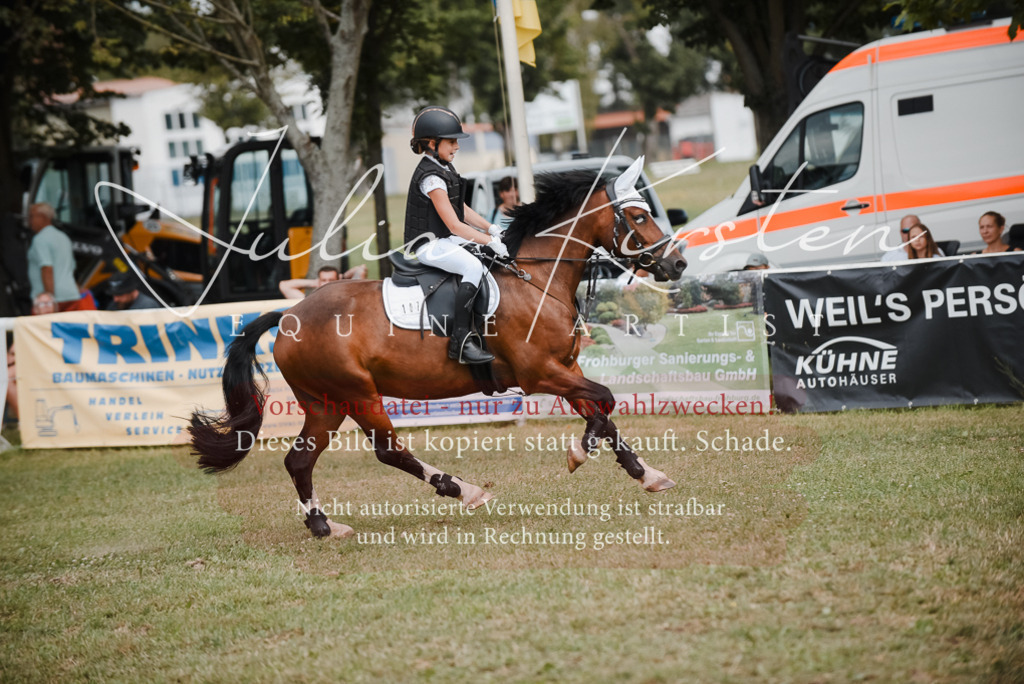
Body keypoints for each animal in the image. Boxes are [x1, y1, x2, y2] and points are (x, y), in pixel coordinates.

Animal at [189, 157, 688, 538]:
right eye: (638, 217)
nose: (677, 263)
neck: (537, 278)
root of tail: (290, 315)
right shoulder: (541, 372)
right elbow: (605, 400)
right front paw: (579, 455)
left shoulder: (565, 368)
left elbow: (602, 413)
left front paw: (648, 475)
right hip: (357, 394)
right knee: (388, 451)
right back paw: (463, 490)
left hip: (325, 403)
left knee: (299, 460)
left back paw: (324, 526)